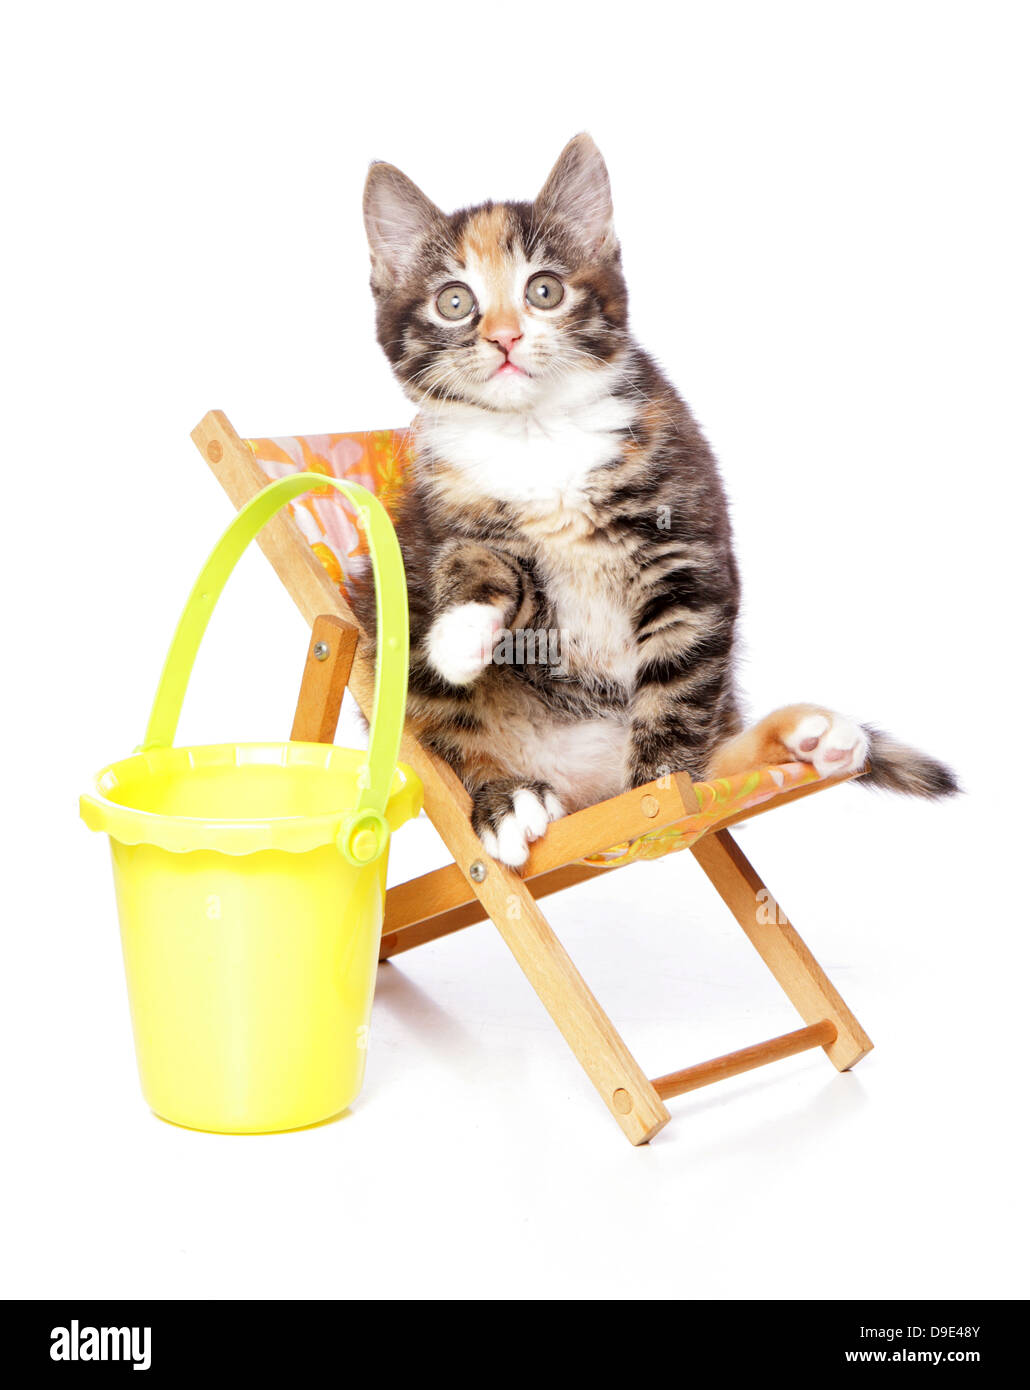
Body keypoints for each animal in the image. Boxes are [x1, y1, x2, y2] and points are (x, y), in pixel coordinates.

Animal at [353, 132, 956, 867]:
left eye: (544, 290)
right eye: (454, 301)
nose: (504, 336)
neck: (536, 434)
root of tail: (587, 793)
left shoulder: (685, 546)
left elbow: (679, 691)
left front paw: (661, 794)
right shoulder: (434, 515)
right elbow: (473, 565)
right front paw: (462, 631)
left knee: (710, 760)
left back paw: (805, 738)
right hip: (383, 642)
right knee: (444, 735)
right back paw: (506, 799)